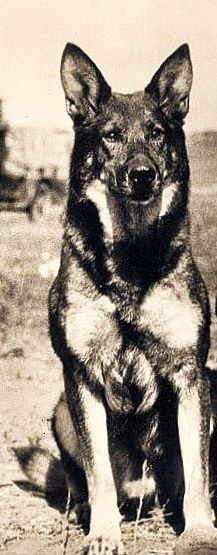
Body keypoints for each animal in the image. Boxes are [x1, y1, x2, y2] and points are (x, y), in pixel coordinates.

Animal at [48, 44, 217, 555]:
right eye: (110, 136)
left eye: (157, 134)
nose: (143, 175)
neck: (132, 256)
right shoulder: (82, 375)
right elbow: (98, 470)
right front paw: (105, 532)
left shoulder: (189, 373)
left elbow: (197, 472)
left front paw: (199, 530)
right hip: (62, 411)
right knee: (87, 476)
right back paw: (87, 511)